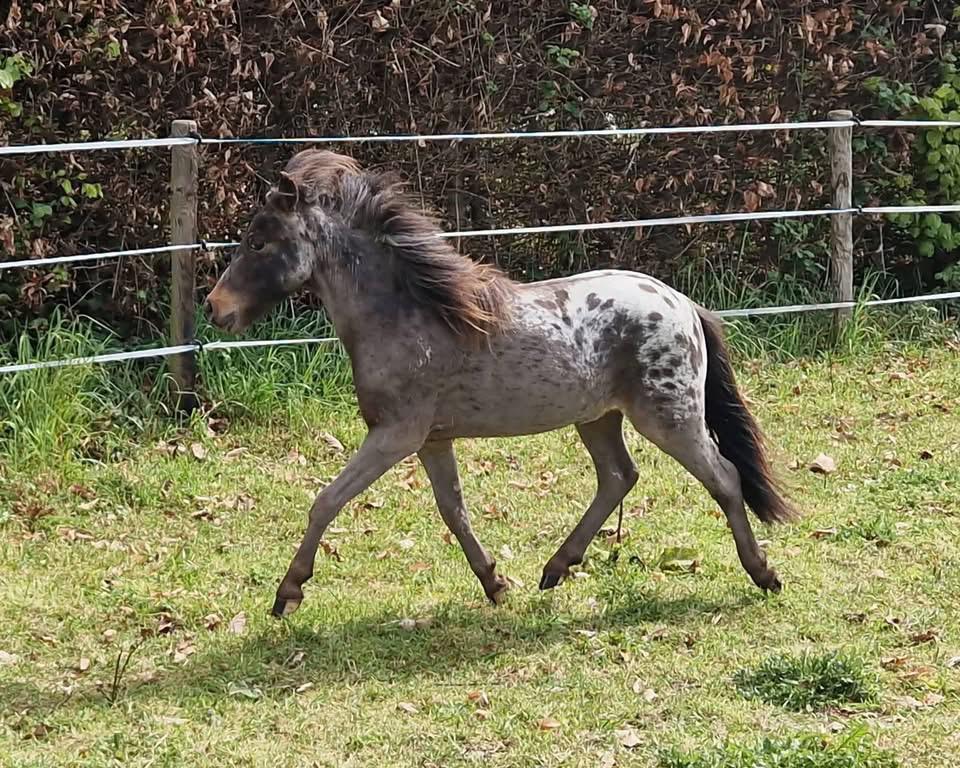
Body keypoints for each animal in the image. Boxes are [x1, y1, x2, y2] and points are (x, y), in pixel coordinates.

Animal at [205, 149, 796, 618]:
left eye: (259, 241)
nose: (215, 308)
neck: (408, 315)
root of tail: (685, 305)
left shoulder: (394, 435)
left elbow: (326, 501)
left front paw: (287, 593)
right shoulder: (431, 440)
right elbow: (454, 511)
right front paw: (495, 583)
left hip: (669, 417)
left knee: (723, 478)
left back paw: (763, 574)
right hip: (598, 417)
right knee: (618, 477)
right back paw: (555, 569)